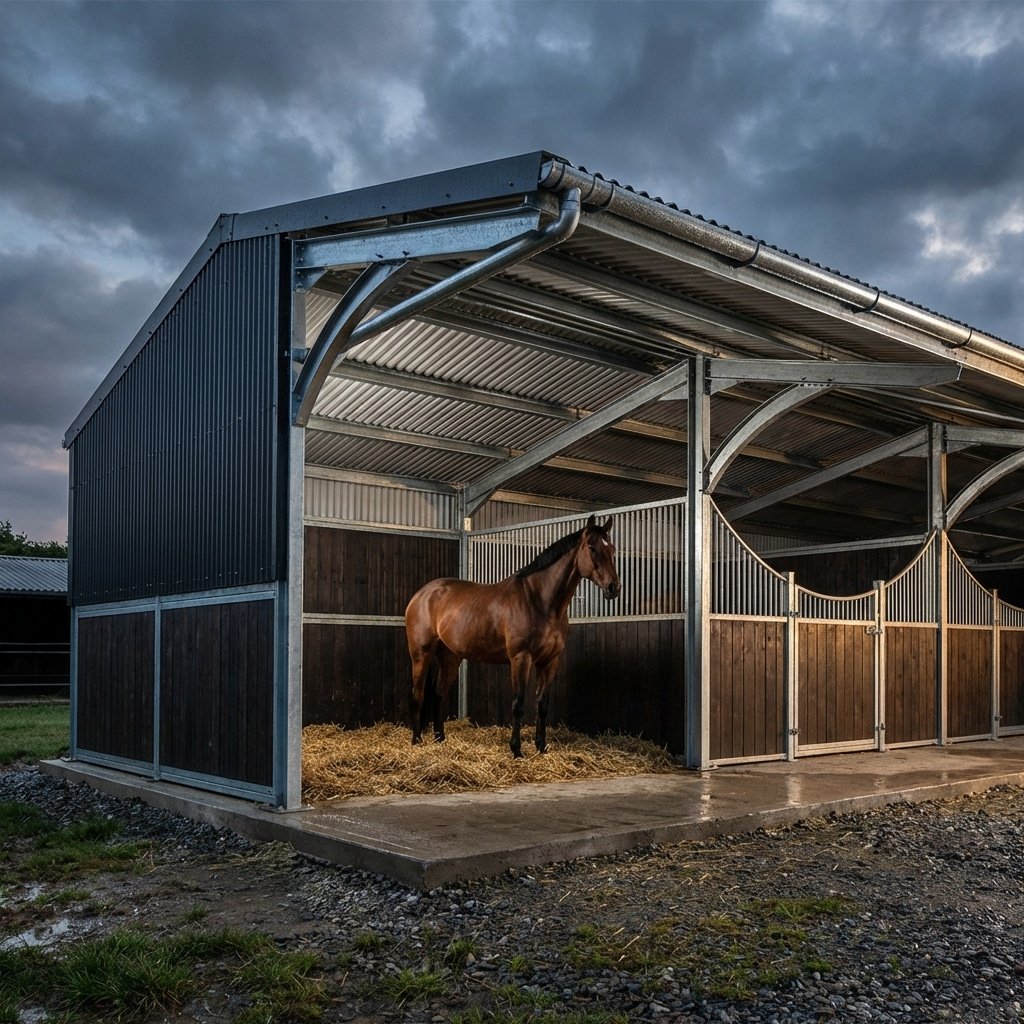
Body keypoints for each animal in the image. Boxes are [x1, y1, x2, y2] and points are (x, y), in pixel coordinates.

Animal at [404, 515, 620, 758]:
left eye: (612, 548)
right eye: (591, 547)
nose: (613, 587)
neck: (539, 601)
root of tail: (421, 594)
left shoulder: (550, 661)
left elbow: (542, 704)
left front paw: (541, 747)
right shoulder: (520, 658)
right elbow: (518, 704)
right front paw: (517, 750)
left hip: (450, 656)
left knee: (439, 694)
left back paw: (440, 739)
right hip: (421, 654)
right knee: (417, 694)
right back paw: (417, 740)